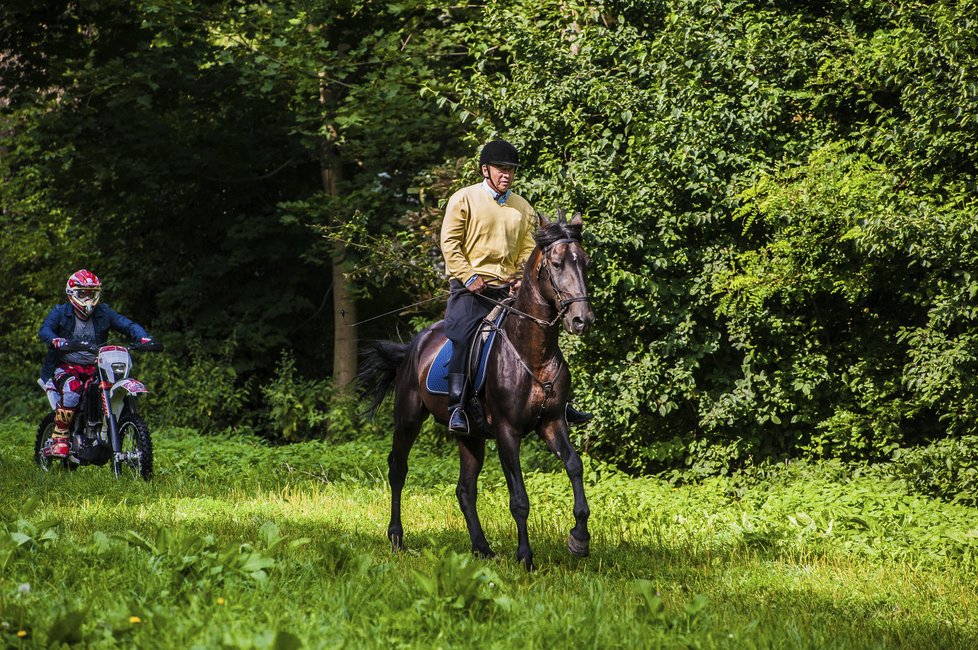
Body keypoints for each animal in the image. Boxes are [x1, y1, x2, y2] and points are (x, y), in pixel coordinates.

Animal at [354, 210, 592, 564]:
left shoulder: (551, 422)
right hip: (408, 417)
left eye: (585, 262)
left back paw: (481, 547)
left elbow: (574, 465)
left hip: (471, 437)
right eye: (557, 263)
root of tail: (414, 344)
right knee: (398, 470)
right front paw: (525, 557)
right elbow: (519, 498)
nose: (582, 320)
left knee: (465, 489)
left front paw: (579, 538)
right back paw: (396, 537)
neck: (533, 352)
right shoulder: (507, 431)